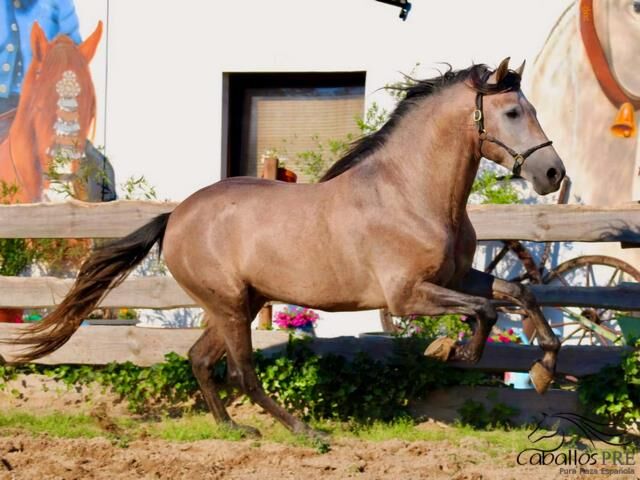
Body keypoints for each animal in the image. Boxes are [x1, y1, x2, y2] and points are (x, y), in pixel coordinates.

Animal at [13, 58, 564, 436]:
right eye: (512, 111)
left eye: (533, 109)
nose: (553, 173)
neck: (411, 194)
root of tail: (177, 217)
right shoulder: (407, 295)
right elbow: (486, 310)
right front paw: (454, 351)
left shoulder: (455, 277)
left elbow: (519, 294)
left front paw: (542, 371)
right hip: (229, 305)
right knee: (242, 373)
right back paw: (304, 430)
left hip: (239, 303)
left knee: (199, 360)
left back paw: (232, 430)